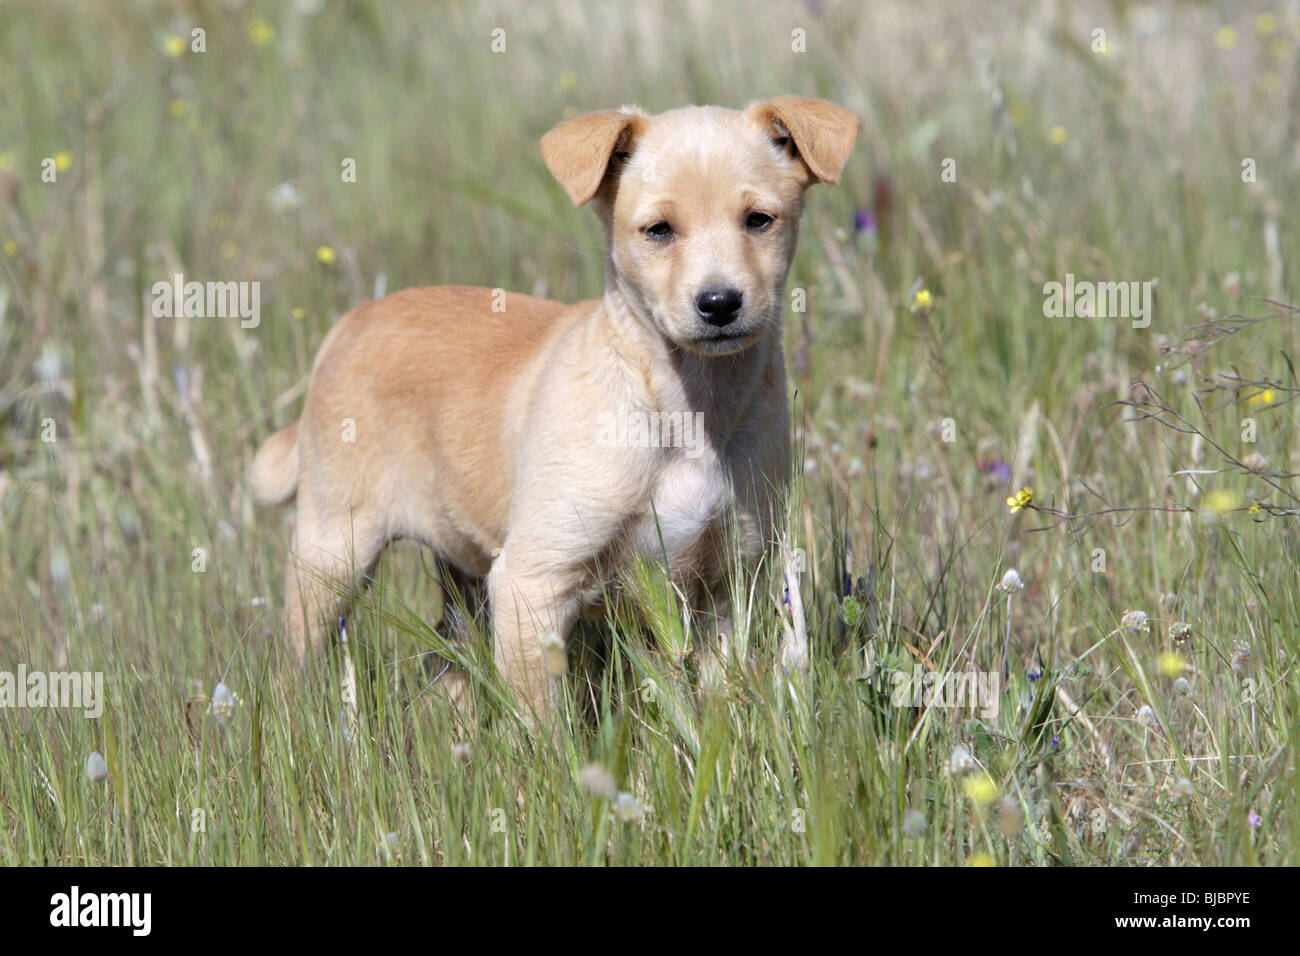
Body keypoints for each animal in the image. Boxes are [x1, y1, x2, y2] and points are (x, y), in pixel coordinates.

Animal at [253, 98, 863, 723]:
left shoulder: (728, 586)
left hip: (461, 573)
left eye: (759, 220)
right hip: (333, 551)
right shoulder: (532, 581)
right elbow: (544, 726)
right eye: (658, 231)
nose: (719, 304)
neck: (684, 410)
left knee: (449, 666)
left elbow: (719, 702)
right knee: (295, 662)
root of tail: (348, 324)